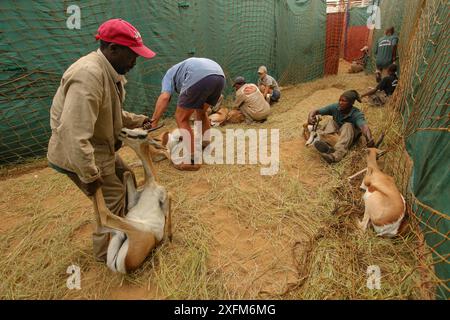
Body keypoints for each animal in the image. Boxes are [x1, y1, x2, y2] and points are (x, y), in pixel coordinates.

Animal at [92, 127, 172, 272]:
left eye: (142, 135)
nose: (122, 131)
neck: (151, 182)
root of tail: (126, 266)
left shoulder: (164, 193)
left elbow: (170, 197)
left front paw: (169, 237)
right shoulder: (134, 199)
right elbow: (127, 173)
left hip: (130, 228)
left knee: (104, 216)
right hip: (120, 233)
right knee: (102, 222)